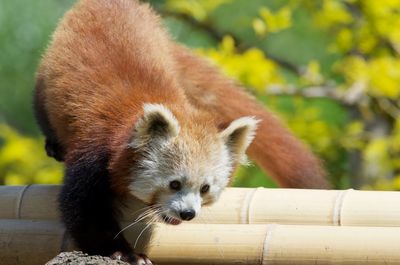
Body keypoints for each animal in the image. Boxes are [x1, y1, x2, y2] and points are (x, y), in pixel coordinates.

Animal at [33, 0, 328, 262]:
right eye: (174, 183)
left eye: (205, 188)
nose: (188, 214)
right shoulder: (94, 152)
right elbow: (82, 211)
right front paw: (124, 253)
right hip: (47, 73)